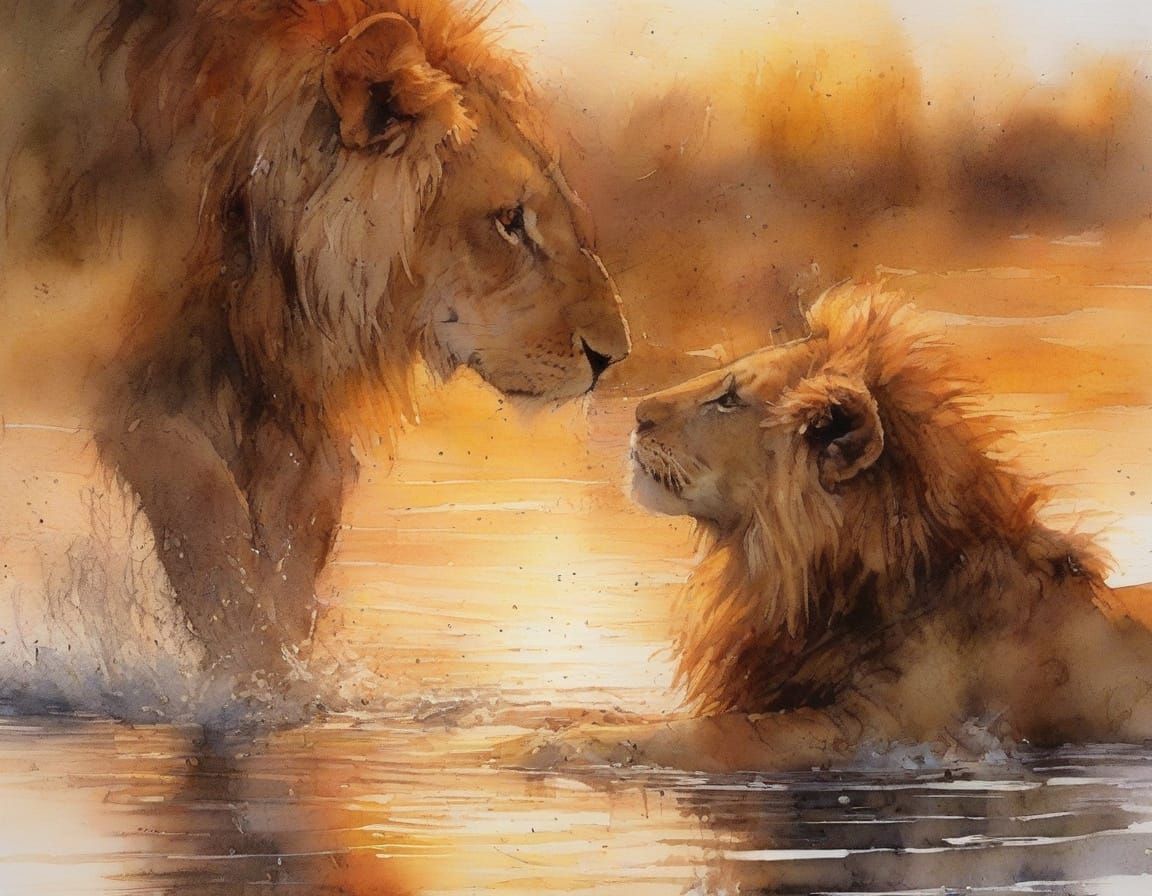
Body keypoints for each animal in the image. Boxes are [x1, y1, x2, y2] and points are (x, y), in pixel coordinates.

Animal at [12, 0, 629, 675]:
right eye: (509, 221)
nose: (613, 357)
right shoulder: (134, 382)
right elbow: (212, 535)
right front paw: (254, 684)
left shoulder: (286, 405)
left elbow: (290, 557)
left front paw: (294, 680)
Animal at [518, 285, 1152, 772]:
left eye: (729, 400)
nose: (636, 414)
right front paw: (537, 717)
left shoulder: (887, 732)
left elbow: (712, 736)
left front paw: (559, 747)